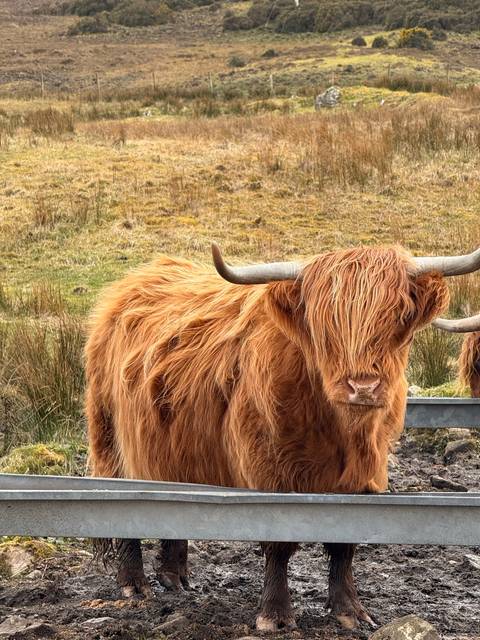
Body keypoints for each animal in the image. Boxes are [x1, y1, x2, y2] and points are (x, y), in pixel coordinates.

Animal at [84, 243, 480, 632]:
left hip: (172, 454)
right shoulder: (270, 473)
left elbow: (345, 544)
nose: (363, 387)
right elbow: (279, 543)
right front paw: (274, 615)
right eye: (325, 325)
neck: (339, 431)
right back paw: (135, 584)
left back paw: (174, 577)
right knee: (124, 508)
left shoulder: (366, 478)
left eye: (400, 316)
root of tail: (132, 282)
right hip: (110, 443)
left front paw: (349, 611)